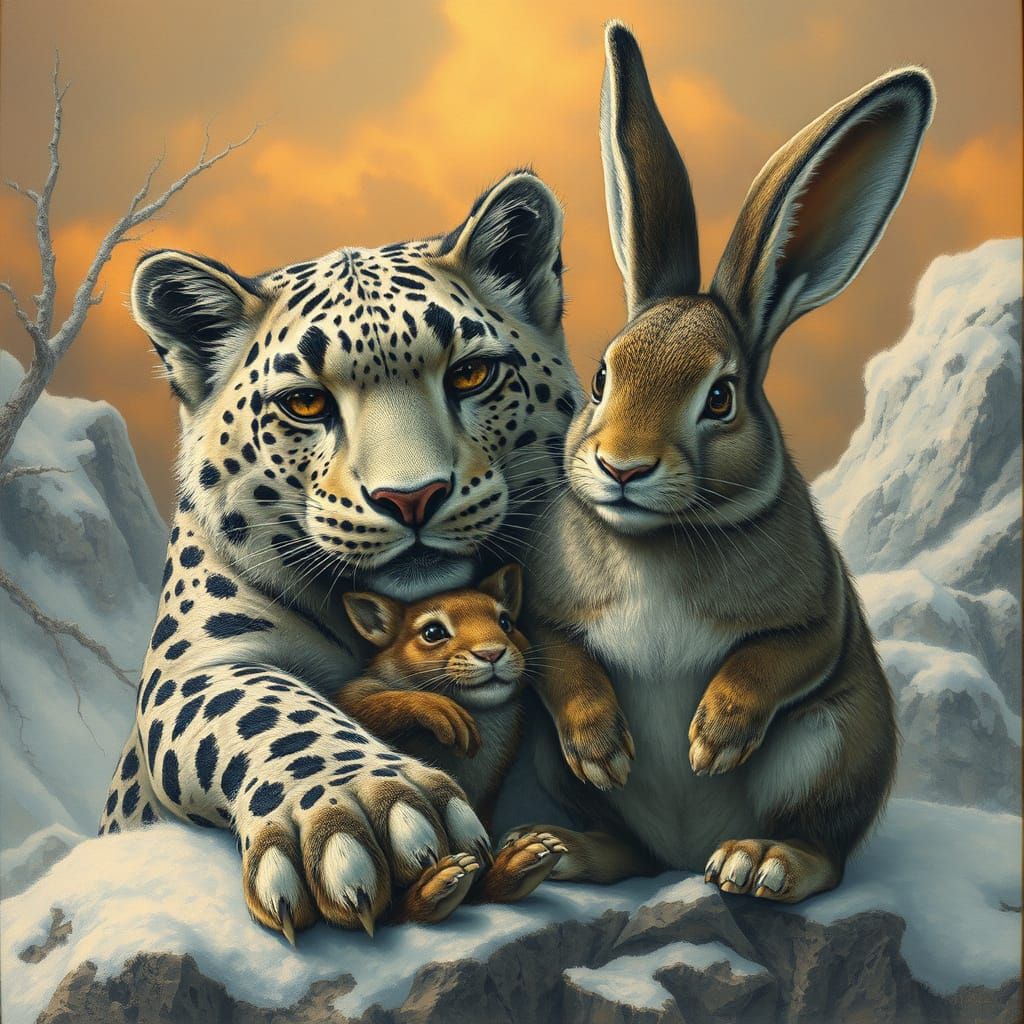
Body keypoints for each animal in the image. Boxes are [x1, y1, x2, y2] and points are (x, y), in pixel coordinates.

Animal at [97, 169, 585, 942]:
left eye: (471, 376)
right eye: (305, 404)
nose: (412, 497)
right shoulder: (194, 666)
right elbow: (270, 710)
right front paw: (367, 809)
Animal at [507, 22, 934, 903]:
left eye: (721, 398)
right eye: (601, 376)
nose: (622, 467)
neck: (657, 541)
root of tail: (681, 851)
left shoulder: (820, 612)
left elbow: (781, 655)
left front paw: (713, 738)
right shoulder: (545, 617)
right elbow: (558, 658)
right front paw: (604, 745)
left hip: (837, 746)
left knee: (826, 852)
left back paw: (757, 863)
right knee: (626, 850)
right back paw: (555, 851)